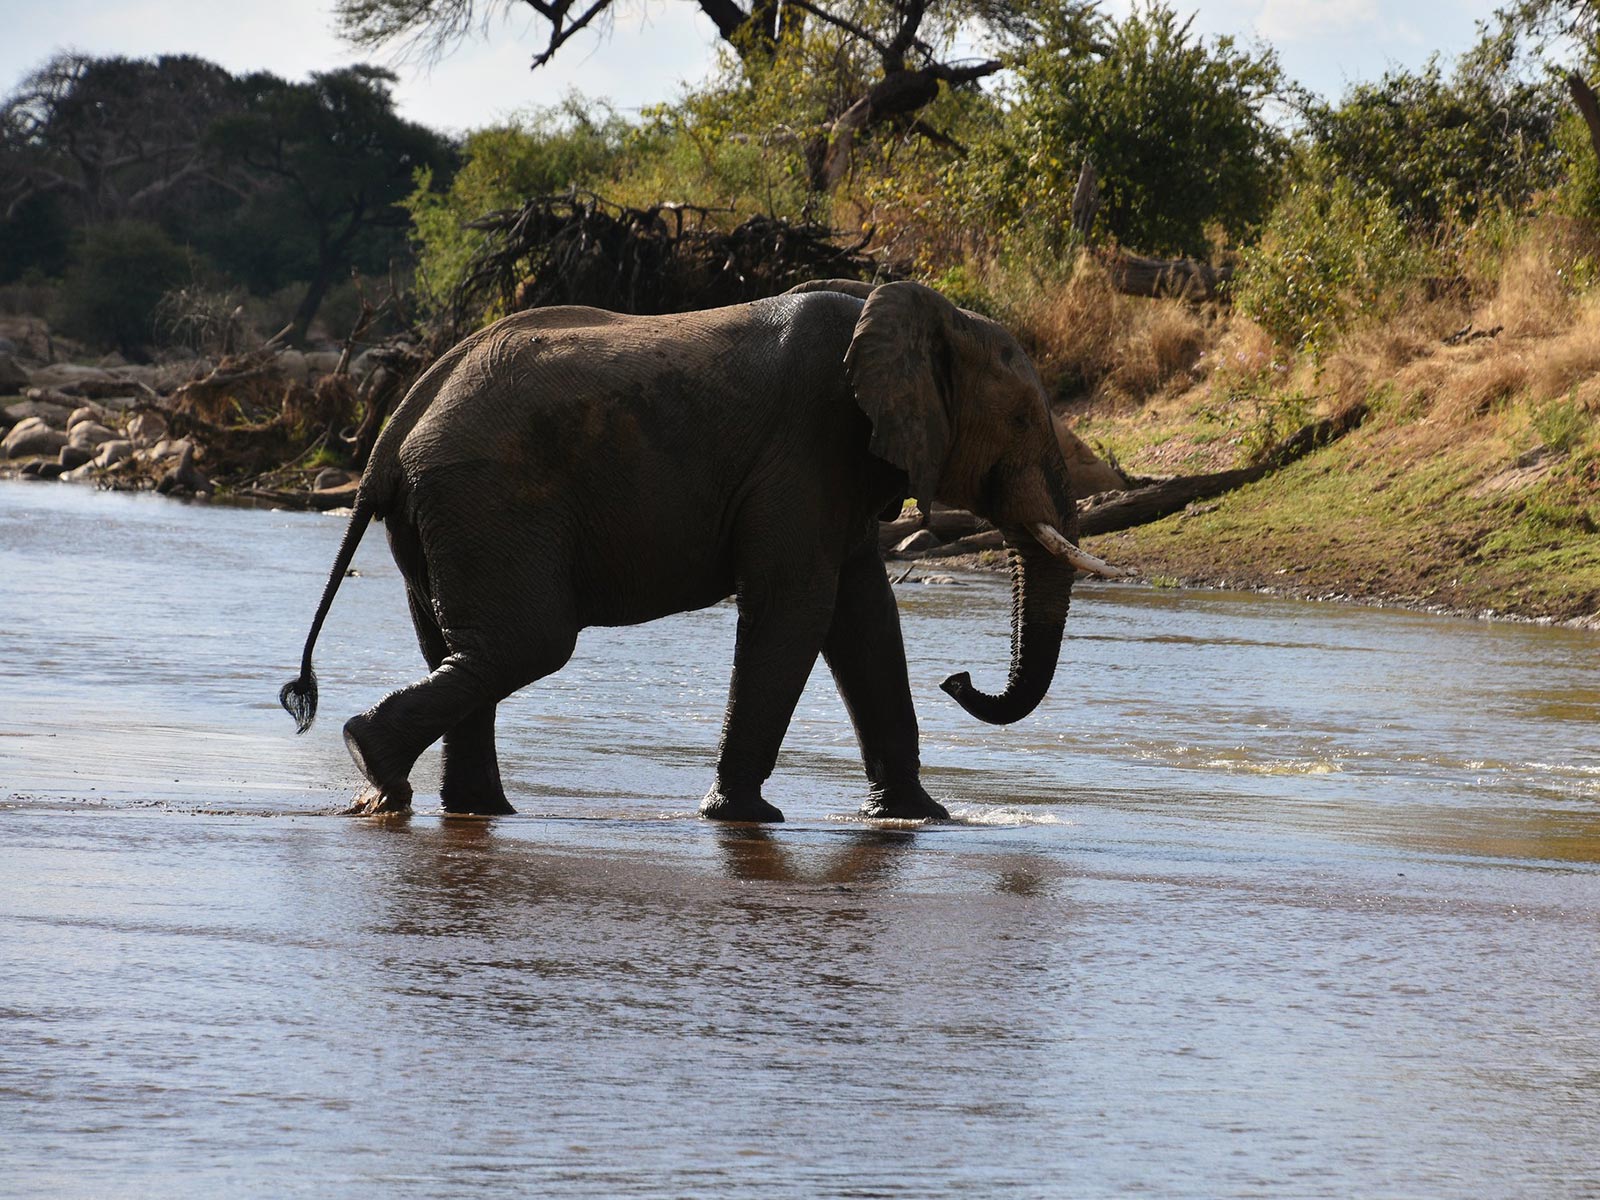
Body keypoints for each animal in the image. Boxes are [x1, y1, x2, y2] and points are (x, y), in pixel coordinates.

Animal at [278, 280, 1126, 825]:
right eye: (1023, 420)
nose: (960, 677)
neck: (922, 314)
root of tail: (393, 430)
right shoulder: (809, 444)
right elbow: (799, 604)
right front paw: (747, 817)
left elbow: (863, 614)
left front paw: (922, 818)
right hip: (487, 498)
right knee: (527, 645)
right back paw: (377, 767)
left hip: (446, 517)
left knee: (466, 648)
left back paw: (456, 801)